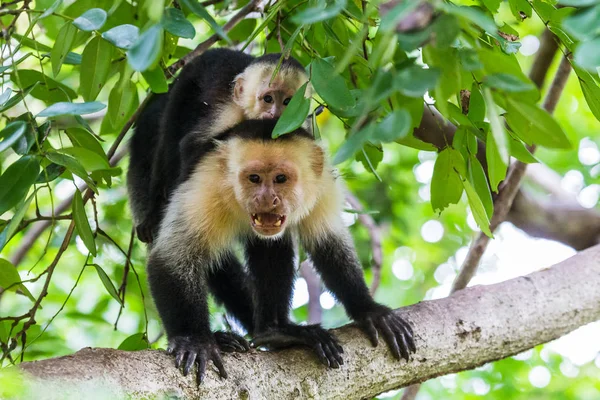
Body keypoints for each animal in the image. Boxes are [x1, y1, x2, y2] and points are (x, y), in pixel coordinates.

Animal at [129, 48, 312, 245]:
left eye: (288, 102)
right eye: (268, 99)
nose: (275, 115)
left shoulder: (296, 123)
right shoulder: (229, 113)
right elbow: (191, 147)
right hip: (186, 84)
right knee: (168, 140)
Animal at [148, 119, 414, 384]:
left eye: (281, 178)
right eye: (254, 178)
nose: (267, 199)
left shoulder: (322, 184)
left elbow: (328, 243)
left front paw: (368, 310)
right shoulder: (207, 184)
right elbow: (173, 257)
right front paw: (194, 340)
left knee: (271, 244)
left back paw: (275, 331)